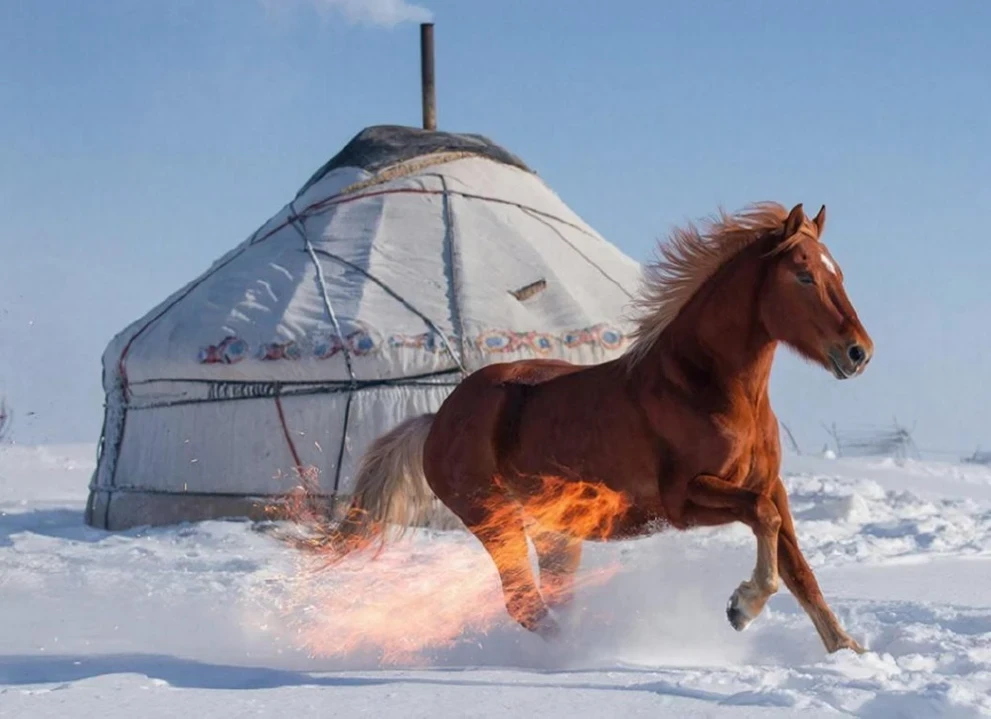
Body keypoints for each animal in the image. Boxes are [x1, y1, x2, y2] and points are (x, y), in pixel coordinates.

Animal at [312, 201, 873, 655]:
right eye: (803, 276)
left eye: (840, 273)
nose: (859, 353)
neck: (709, 389)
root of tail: (436, 419)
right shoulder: (686, 499)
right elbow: (763, 522)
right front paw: (742, 607)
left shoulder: (771, 486)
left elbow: (797, 565)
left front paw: (846, 652)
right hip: (494, 519)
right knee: (523, 602)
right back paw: (583, 651)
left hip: (555, 531)